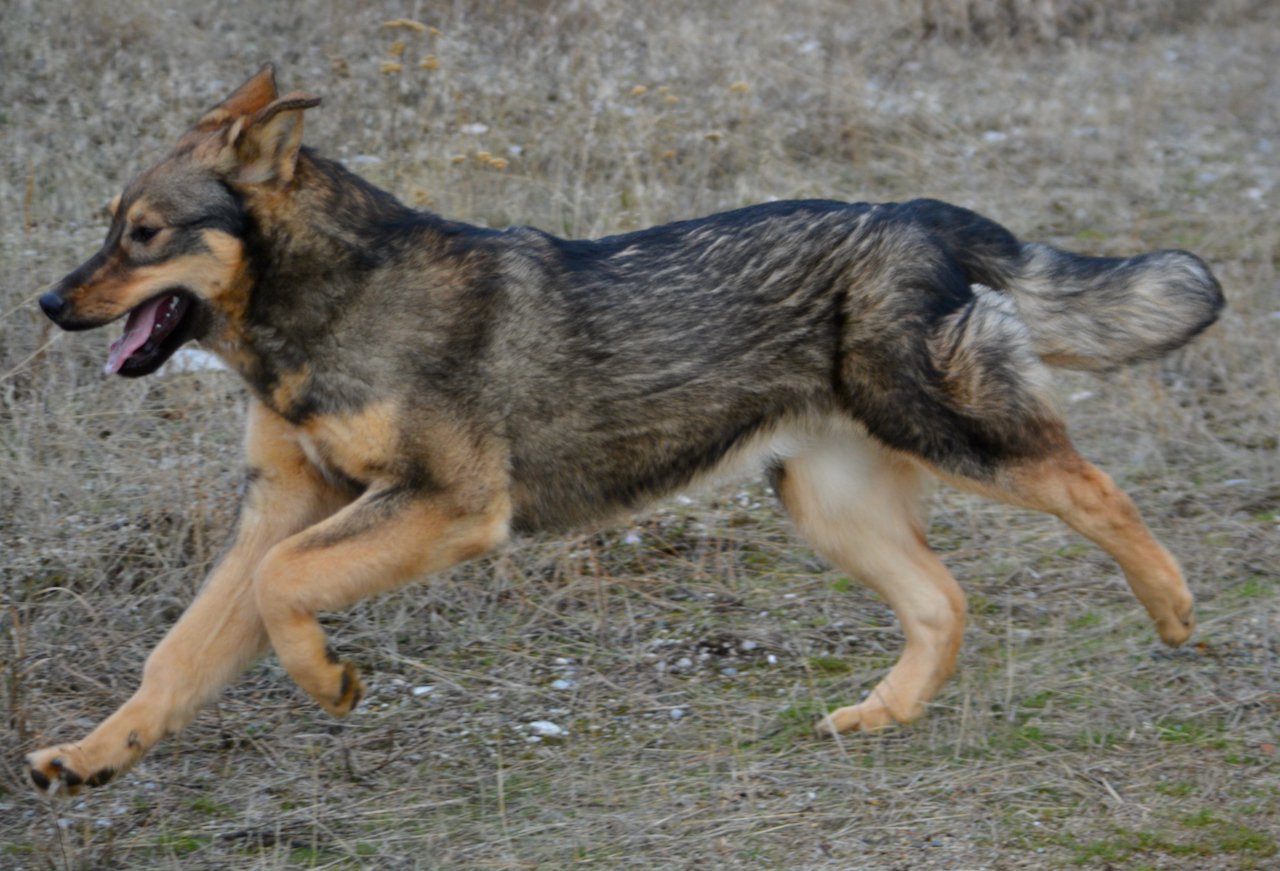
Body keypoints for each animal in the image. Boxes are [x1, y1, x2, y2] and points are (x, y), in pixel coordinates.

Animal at [24, 64, 1213, 794]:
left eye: (144, 235)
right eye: (109, 228)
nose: (45, 302)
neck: (328, 305)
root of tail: (918, 213)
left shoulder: (447, 507)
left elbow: (282, 596)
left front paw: (327, 681)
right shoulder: (284, 509)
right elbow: (178, 655)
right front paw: (94, 753)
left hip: (948, 428)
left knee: (1092, 487)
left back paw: (1171, 608)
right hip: (829, 501)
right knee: (943, 602)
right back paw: (881, 715)